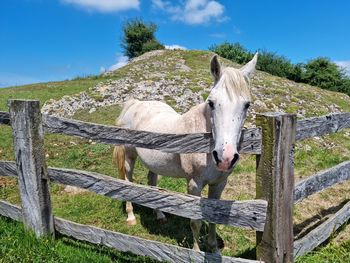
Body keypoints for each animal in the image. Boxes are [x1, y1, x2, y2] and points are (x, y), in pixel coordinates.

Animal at [113, 54, 258, 254]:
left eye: (247, 105)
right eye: (211, 103)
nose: (225, 158)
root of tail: (136, 104)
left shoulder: (219, 184)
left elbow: (213, 218)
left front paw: (214, 249)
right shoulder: (194, 184)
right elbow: (195, 221)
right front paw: (196, 252)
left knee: (152, 180)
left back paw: (159, 214)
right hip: (129, 157)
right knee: (128, 181)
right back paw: (131, 216)